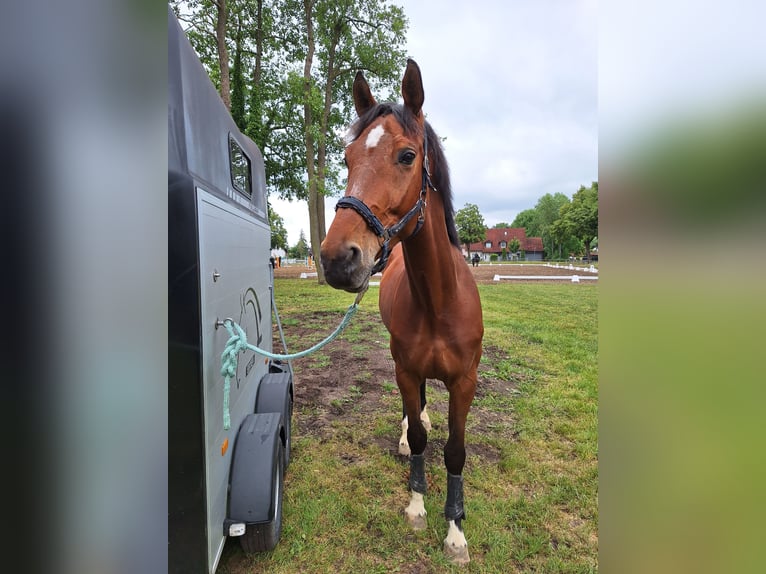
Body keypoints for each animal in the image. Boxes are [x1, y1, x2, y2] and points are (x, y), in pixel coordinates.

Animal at [320, 59, 483, 566]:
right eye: (347, 158)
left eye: (407, 156)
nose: (337, 259)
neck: (438, 301)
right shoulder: (406, 371)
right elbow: (417, 442)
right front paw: (416, 507)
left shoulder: (464, 382)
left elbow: (455, 452)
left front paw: (455, 533)